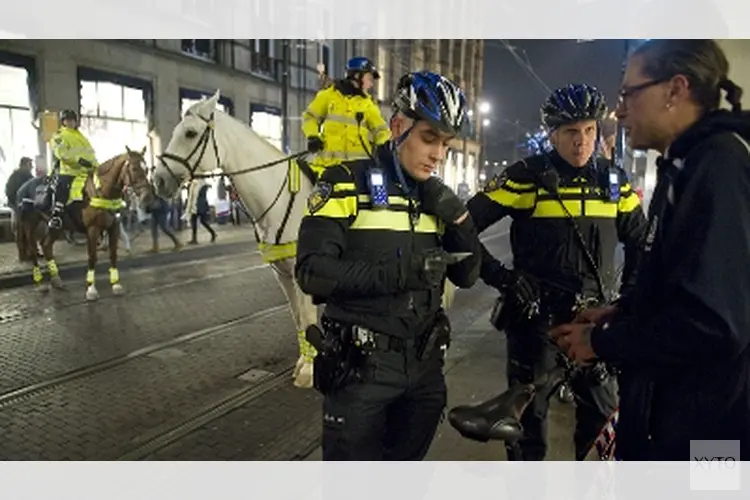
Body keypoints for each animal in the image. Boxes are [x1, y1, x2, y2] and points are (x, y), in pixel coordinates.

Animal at [16, 146, 153, 298]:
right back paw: (40, 283)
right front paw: (91, 288)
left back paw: (56, 279)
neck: (101, 191)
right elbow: (92, 257)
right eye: (134, 168)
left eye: (147, 169)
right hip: (30, 224)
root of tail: (22, 187)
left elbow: (113, 255)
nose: (147, 196)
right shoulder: (92, 229)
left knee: (46, 246)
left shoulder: (113, 227)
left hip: (56, 226)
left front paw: (116, 284)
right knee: (33, 250)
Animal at [152, 92, 458, 392]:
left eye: (190, 133)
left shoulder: (304, 278)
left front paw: (309, 370)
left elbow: (308, 316)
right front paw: (304, 362)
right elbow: (299, 319)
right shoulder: (284, 276)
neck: (276, 198)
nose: (159, 180)